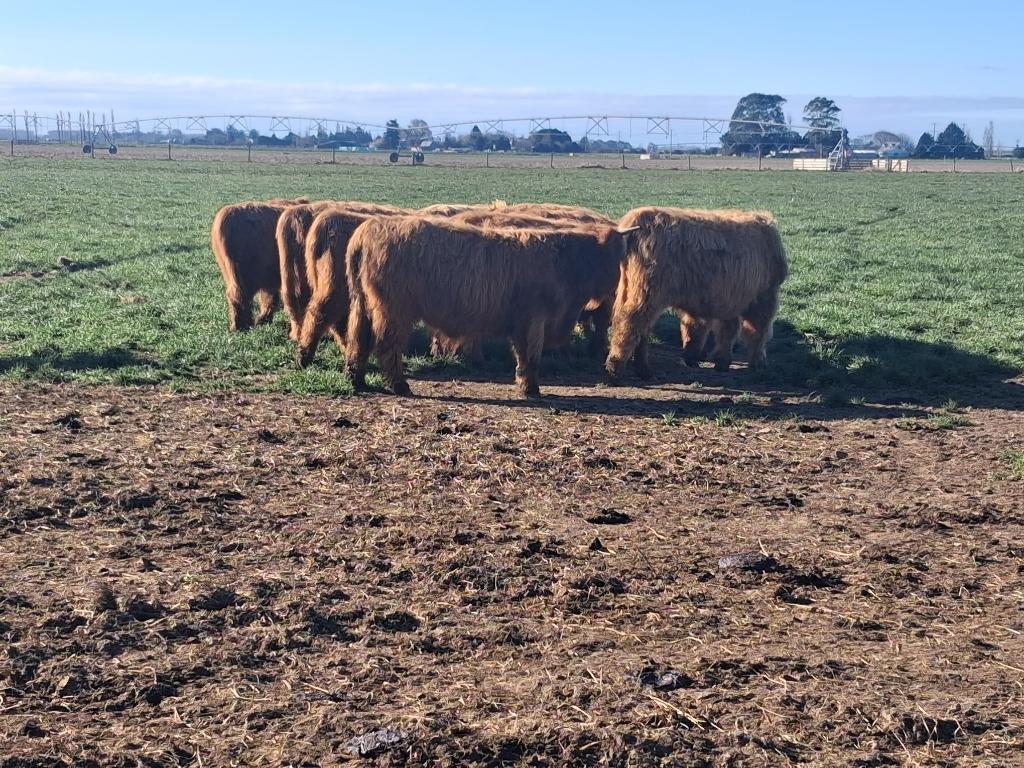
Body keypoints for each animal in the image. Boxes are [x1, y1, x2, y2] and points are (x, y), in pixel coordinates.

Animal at [344, 216, 629, 397]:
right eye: (616, 256)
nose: (617, 288)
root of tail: (369, 229)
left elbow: (522, 355)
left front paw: (523, 384)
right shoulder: (534, 319)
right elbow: (531, 355)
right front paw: (531, 388)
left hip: (362, 305)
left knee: (358, 340)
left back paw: (356, 380)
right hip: (395, 311)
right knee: (387, 346)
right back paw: (400, 385)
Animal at [605, 207, 788, 380]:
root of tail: (637, 218)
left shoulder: (728, 299)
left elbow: (718, 330)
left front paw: (717, 360)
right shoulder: (763, 296)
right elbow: (758, 332)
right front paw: (758, 363)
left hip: (630, 288)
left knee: (638, 327)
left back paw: (641, 370)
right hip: (647, 293)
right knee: (631, 321)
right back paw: (616, 367)